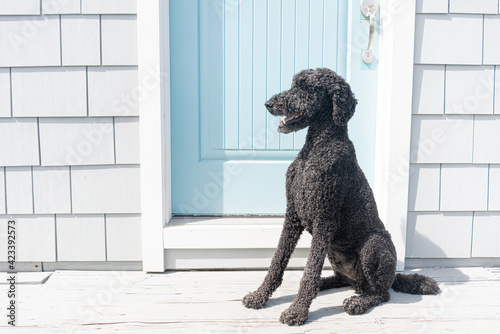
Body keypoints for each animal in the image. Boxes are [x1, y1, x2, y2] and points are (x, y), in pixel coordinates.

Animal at [242, 68, 438, 326]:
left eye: (307, 88)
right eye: (294, 84)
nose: (269, 104)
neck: (317, 148)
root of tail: (392, 276)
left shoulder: (324, 220)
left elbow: (309, 271)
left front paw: (297, 311)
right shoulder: (292, 215)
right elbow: (277, 261)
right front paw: (259, 296)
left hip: (373, 245)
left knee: (381, 293)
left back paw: (357, 302)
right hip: (334, 253)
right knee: (342, 280)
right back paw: (324, 286)